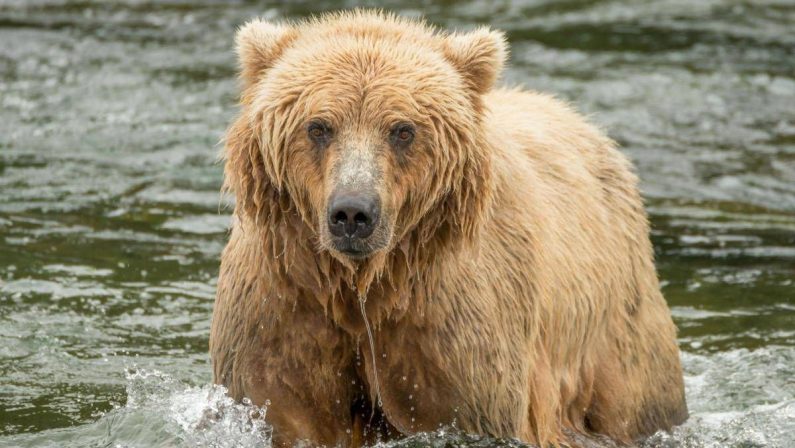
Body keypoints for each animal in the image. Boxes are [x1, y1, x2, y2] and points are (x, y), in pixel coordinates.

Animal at [209, 10, 688, 448]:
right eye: (318, 126)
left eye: (402, 129)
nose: (353, 214)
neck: (365, 286)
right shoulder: (284, 301)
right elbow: (287, 405)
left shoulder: (453, 320)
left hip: (616, 325)